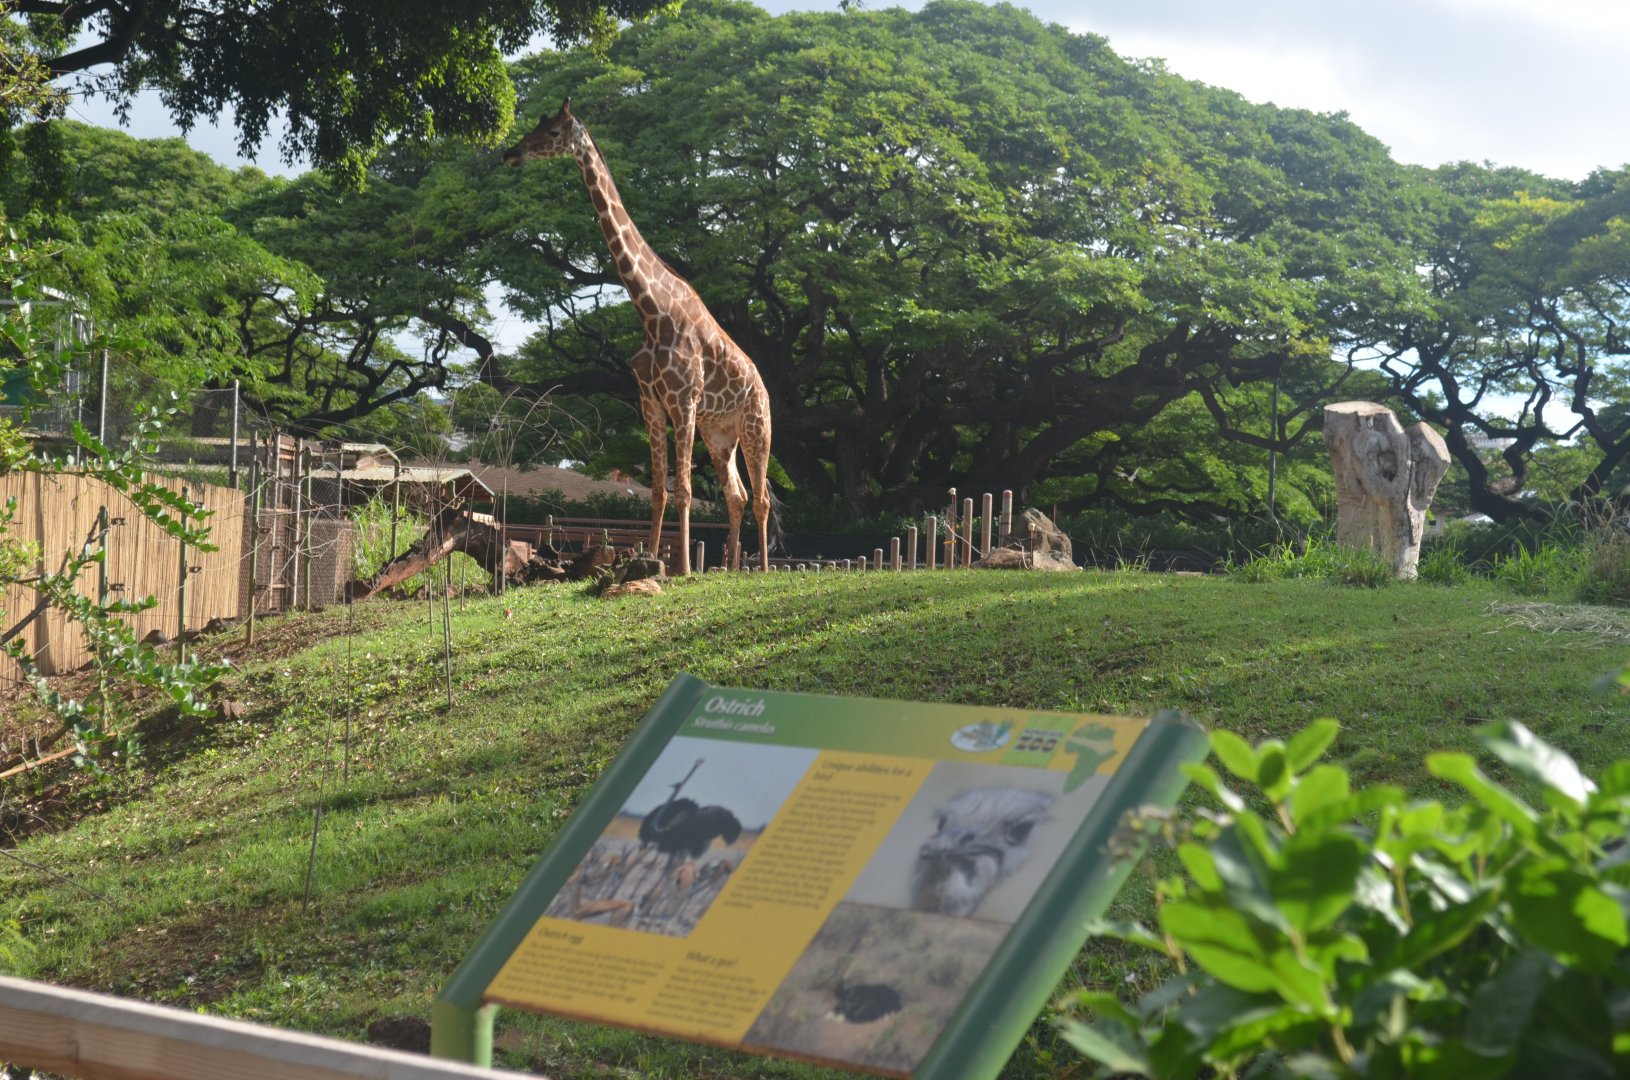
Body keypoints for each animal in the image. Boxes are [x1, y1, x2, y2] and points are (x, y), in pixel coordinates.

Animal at [503, 99, 773, 574]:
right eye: (537, 125)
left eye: (552, 132)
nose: (511, 154)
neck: (651, 310)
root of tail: (763, 386)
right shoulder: (650, 401)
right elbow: (659, 490)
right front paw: (649, 559)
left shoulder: (683, 400)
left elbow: (684, 490)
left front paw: (683, 569)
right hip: (720, 435)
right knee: (736, 496)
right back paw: (731, 568)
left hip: (757, 426)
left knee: (761, 499)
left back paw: (758, 569)